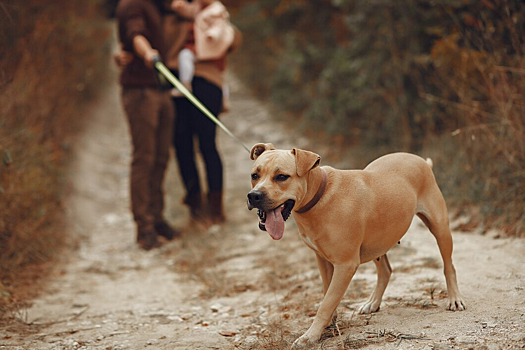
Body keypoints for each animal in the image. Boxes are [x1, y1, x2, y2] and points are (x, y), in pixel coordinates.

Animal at [246, 143, 462, 348]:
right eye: (254, 175)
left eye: (282, 177)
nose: (254, 195)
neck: (320, 196)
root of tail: (421, 160)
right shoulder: (324, 260)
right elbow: (328, 295)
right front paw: (327, 325)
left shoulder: (345, 265)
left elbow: (326, 303)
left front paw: (310, 336)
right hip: (377, 241)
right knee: (385, 270)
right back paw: (373, 303)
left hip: (440, 228)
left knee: (449, 266)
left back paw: (454, 299)